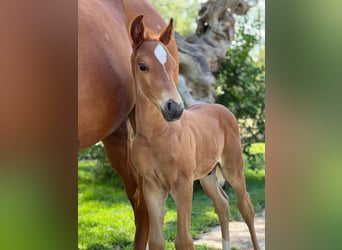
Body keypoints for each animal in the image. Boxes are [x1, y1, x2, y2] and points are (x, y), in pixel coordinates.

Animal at [130, 16, 260, 250]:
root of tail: (221, 108)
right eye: (142, 66)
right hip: (207, 176)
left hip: (233, 168)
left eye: (173, 65)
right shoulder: (152, 187)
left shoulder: (183, 185)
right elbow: (156, 240)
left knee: (246, 206)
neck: (157, 136)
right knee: (223, 205)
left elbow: (183, 240)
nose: (174, 108)